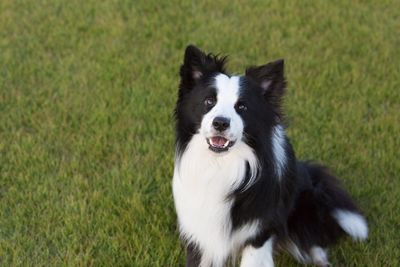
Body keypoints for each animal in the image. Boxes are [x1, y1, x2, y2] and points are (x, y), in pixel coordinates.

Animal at [173, 46, 368, 267]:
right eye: (209, 101)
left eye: (242, 107)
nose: (221, 123)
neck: (221, 166)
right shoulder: (200, 233)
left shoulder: (259, 233)